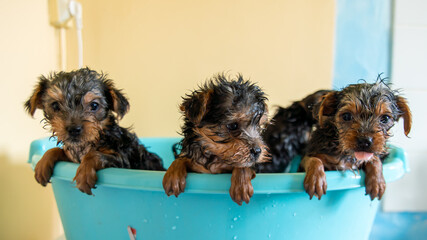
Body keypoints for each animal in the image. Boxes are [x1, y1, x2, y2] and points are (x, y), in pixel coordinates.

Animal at [25, 67, 165, 195]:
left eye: (94, 105)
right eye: (55, 105)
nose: (73, 129)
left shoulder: (124, 159)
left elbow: (94, 154)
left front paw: (84, 174)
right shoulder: (72, 158)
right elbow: (56, 150)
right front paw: (42, 163)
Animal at [162, 73, 270, 204]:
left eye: (258, 127)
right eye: (233, 126)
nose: (257, 151)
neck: (215, 155)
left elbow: (244, 165)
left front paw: (241, 186)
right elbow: (182, 158)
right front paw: (173, 176)